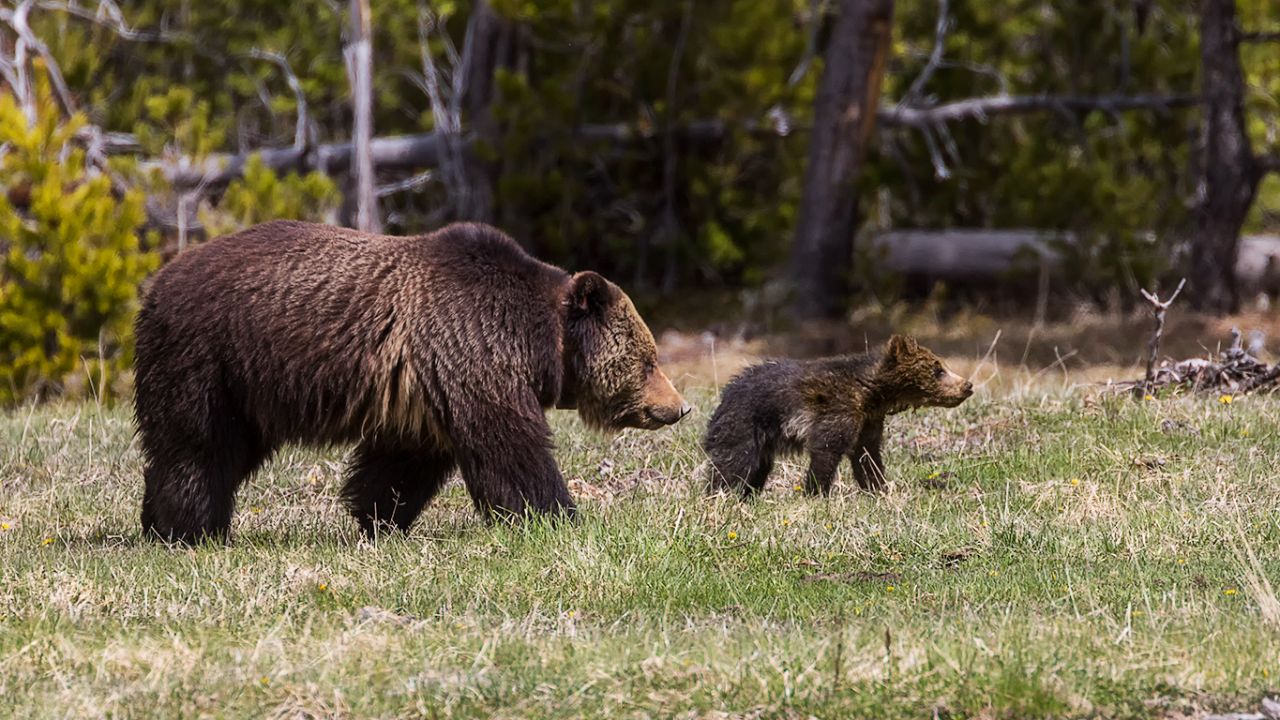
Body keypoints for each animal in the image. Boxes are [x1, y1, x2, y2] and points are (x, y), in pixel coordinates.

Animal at [133, 220, 690, 543]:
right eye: (648, 360)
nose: (679, 405)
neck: (536, 343)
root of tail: (156, 283)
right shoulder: (472, 350)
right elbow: (511, 449)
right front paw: (557, 516)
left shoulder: (425, 389)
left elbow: (403, 463)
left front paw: (377, 517)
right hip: (211, 359)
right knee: (198, 447)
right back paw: (189, 528)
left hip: (242, 388)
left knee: (218, 450)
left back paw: (165, 523)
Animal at [703, 335, 971, 497]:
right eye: (938, 369)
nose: (967, 385)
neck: (871, 393)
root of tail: (724, 396)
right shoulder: (838, 409)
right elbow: (827, 449)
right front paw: (816, 492)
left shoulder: (869, 421)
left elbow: (867, 455)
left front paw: (878, 488)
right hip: (745, 424)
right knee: (735, 463)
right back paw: (721, 494)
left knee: (758, 467)